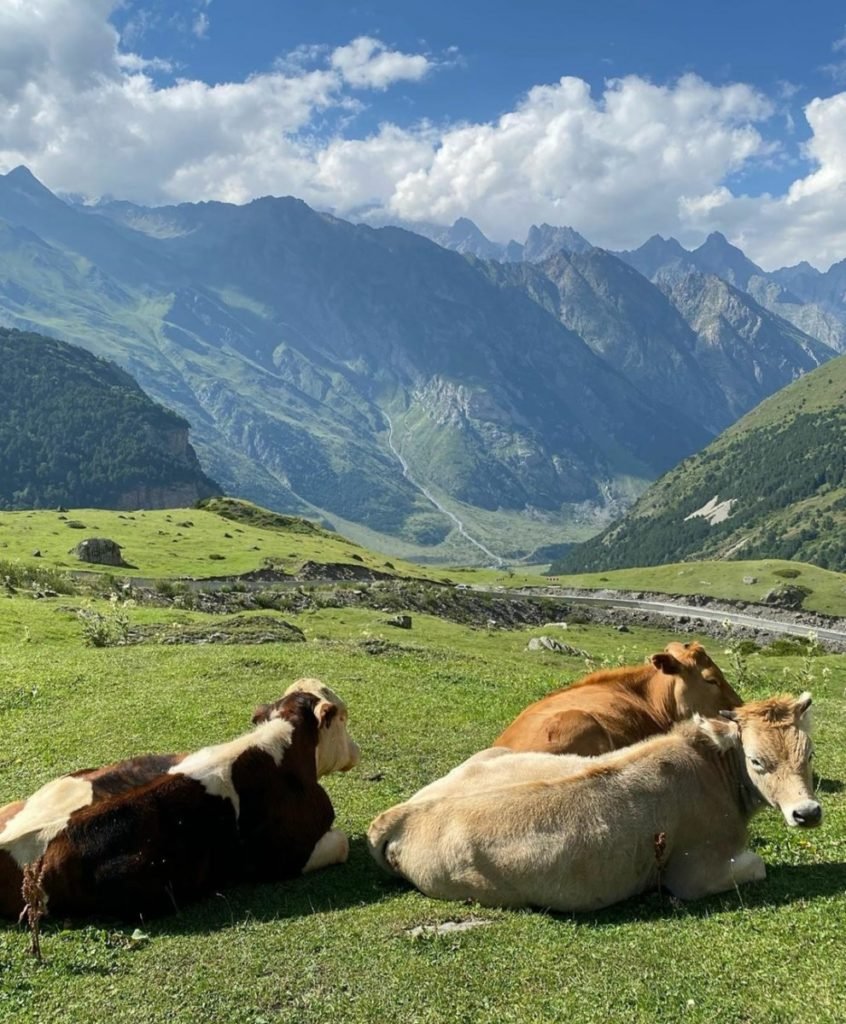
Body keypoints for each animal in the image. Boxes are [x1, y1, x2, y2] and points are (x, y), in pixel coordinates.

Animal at [366, 696, 819, 913]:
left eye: (810, 752)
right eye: (757, 761)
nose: (808, 812)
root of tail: (401, 814)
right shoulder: (694, 875)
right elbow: (757, 865)